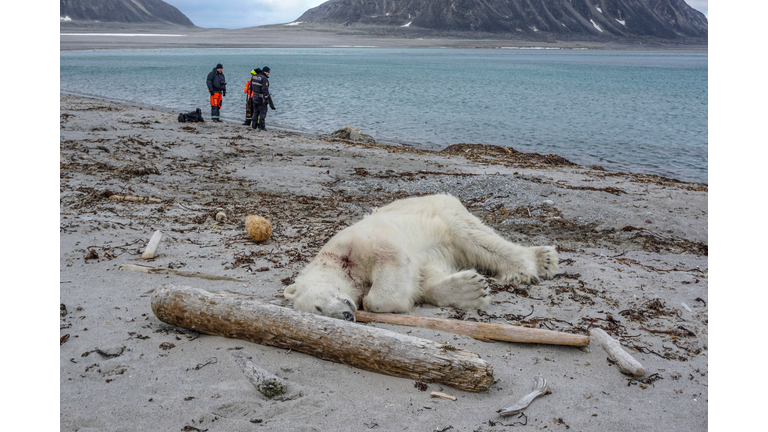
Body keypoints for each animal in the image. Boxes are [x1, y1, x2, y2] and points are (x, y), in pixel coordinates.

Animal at [284, 196, 560, 320]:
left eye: (318, 307)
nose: (346, 315)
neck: (337, 262)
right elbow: (425, 278)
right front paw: (471, 289)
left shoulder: (357, 243)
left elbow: (389, 263)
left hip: (444, 213)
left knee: (476, 238)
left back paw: (532, 264)